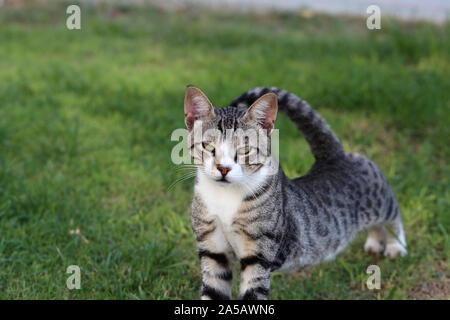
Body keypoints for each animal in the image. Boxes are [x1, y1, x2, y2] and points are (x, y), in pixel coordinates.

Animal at [183, 85, 408, 300]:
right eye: (207, 146)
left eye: (245, 150)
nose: (223, 168)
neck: (225, 197)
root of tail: (334, 156)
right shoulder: (213, 252)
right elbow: (213, 291)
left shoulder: (261, 256)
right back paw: (375, 242)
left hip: (377, 195)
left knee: (392, 212)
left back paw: (395, 245)